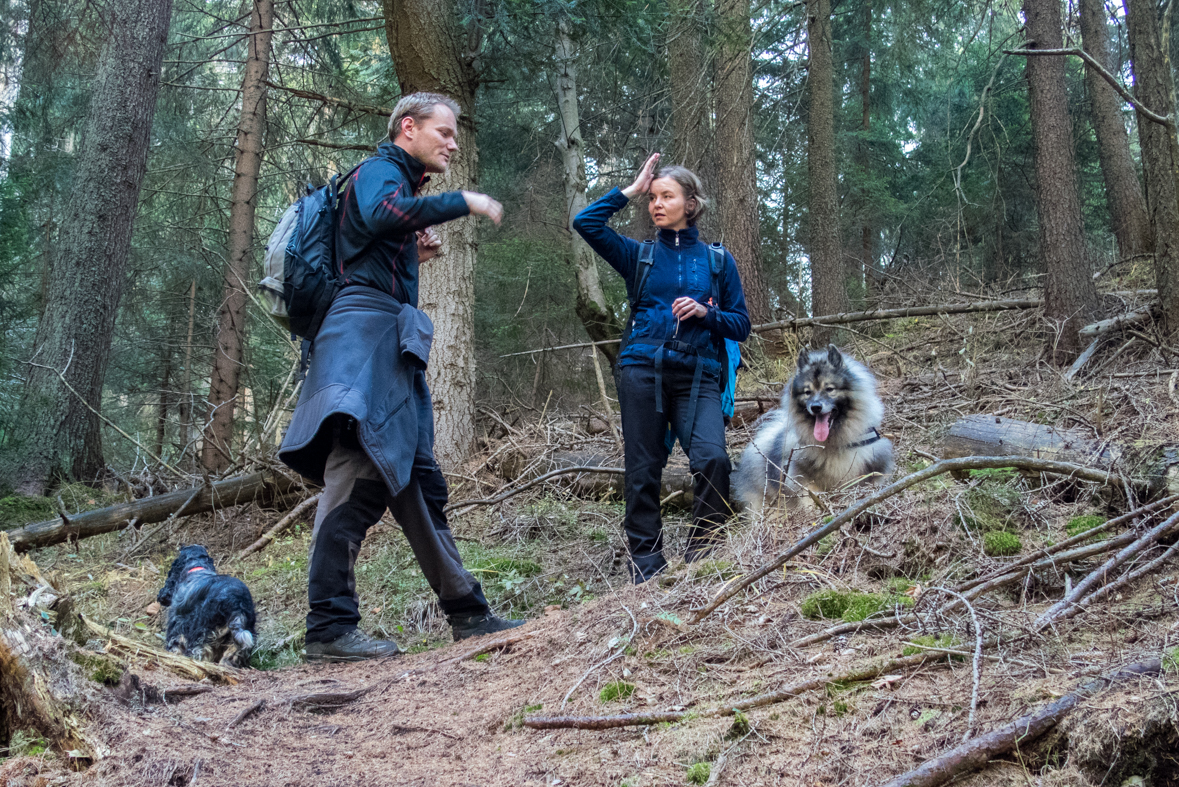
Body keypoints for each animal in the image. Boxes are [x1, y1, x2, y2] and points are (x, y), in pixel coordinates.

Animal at [735, 344, 891, 511]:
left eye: (829, 389)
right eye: (807, 392)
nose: (816, 407)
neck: (833, 443)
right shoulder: (800, 476)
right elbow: (809, 494)